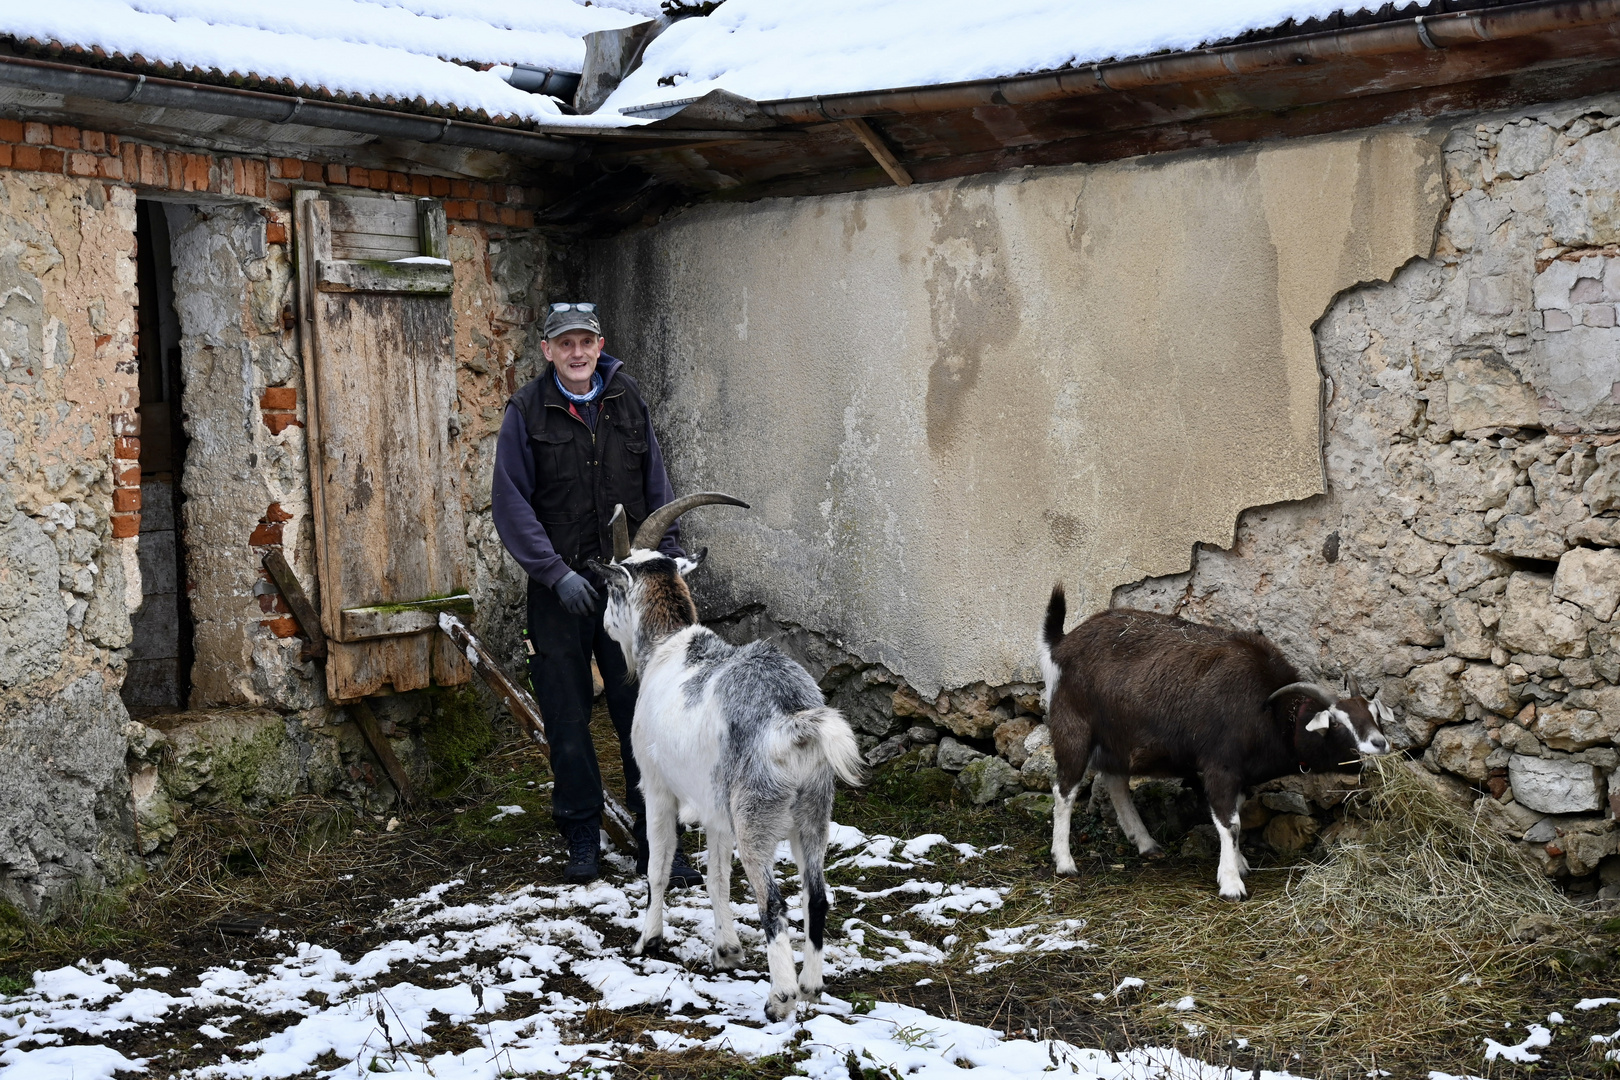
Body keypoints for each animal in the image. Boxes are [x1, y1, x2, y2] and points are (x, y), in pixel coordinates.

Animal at [583, 495, 861, 1023]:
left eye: (610, 589)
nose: (604, 625)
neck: (672, 648)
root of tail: (792, 720)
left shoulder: (658, 788)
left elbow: (659, 866)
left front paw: (648, 940)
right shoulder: (716, 809)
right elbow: (716, 878)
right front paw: (727, 950)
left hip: (756, 816)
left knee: (774, 904)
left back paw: (781, 998)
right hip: (813, 814)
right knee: (816, 895)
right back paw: (812, 986)